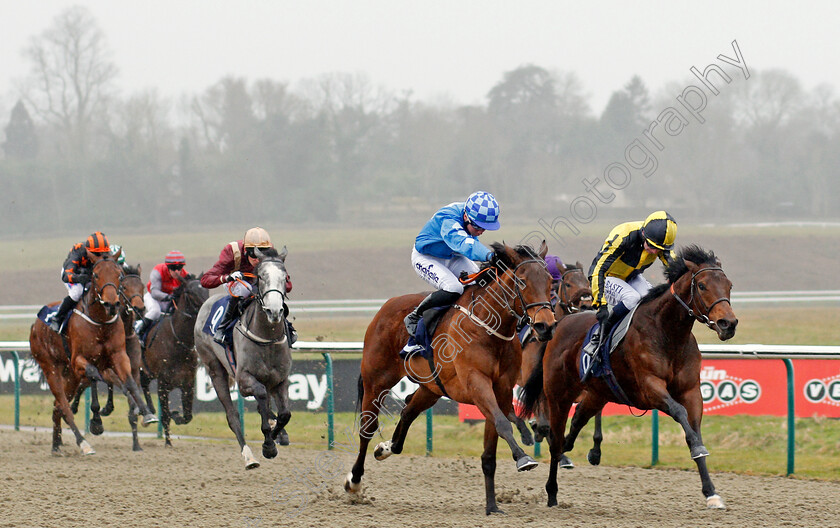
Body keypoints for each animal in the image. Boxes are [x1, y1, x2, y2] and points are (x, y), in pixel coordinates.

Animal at [29, 256, 158, 454]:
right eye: (96, 275)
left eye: (142, 286)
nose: (112, 304)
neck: (100, 323)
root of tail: (35, 324)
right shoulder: (82, 361)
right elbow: (98, 377)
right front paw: (98, 419)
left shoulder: (123, 360)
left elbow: (130, 384)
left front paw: (146, 414)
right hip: (50, 367)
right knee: (64, 405)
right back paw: (83, 442)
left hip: (70, 375)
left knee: (58, 406)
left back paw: (56, 445)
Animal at [143, 276, 208, 446]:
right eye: (190, 292)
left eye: (206, 290)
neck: (177, 341)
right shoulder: (162, 384)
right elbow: (165, 415)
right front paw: (168, 442)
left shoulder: (188, 384)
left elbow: (187, 416)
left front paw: (176, 415)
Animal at [346, 241, 556, 512]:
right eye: (522, 281)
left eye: (550, 281)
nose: (545, 326)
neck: (490, 328)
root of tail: (383, 309)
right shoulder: (476, 383)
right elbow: (502, 423)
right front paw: (522, 458)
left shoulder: (501, 386)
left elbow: (496, 438)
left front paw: (492, 506)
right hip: (376, 381)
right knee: (367, 428)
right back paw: (354, 481)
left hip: (431, 388)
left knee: (408, 410)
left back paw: (387, 448)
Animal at [520, 245, 740, 510]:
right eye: (703, 285)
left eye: (729, 285)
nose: (728, 323)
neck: (668, 333)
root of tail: (558, 324)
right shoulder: (649, 388)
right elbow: (679, 413)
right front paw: (698, 449)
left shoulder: (691, 391)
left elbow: (693, 428)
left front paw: (711, 492)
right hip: (558, 395)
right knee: (554, 439)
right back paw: (552, 491)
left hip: (598, 392)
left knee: (576, 421)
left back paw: (579, 450)